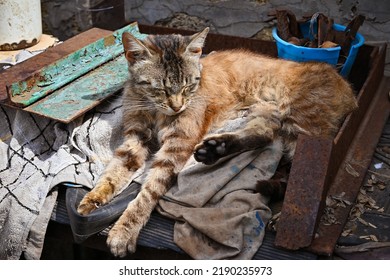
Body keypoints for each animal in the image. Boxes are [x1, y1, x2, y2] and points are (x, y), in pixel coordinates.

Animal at [75, 27, 356, 258]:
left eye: (188, 85)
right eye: (161, 88)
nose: (177, 106)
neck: (154, 110)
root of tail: (345, 83)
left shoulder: (177, 145)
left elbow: (149, 191)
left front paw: (124, 230)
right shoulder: (135, 137)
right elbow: (113, 171)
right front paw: (94, 197)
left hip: (303, 129)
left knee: (308, 177)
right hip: (264, 111)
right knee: (264, 134)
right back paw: (216, 149)